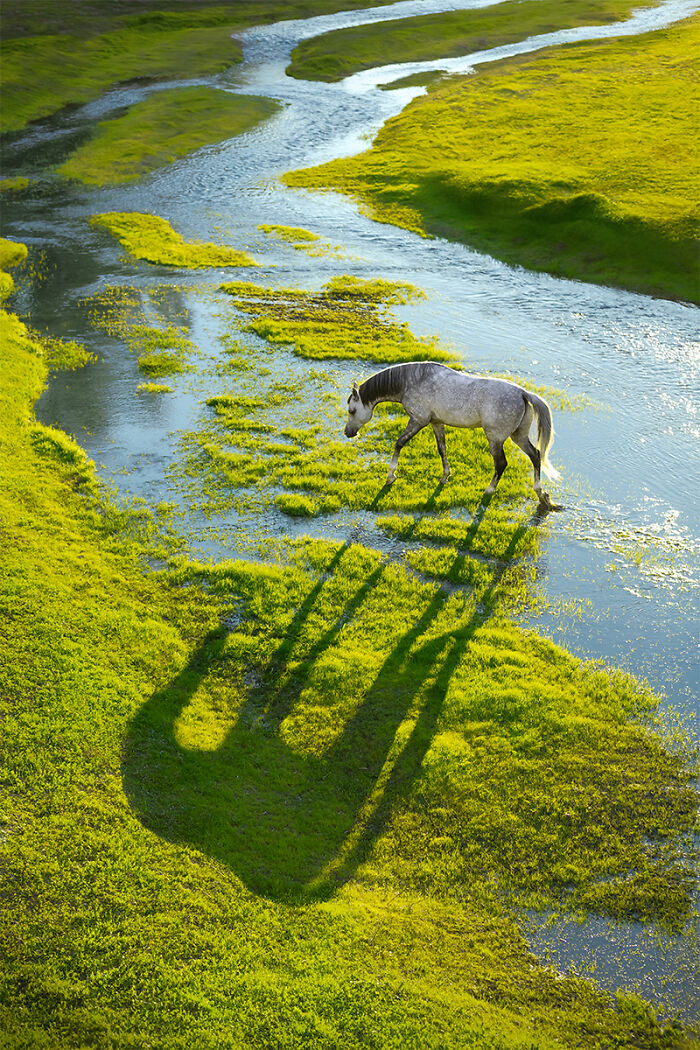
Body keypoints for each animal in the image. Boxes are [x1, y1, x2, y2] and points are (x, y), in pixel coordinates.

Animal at [344, 361, 560, 507]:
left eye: (352, 410)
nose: (348, 433)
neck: (411, 381)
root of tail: (523, 393)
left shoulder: (418, 421)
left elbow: (399, 444)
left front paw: (391, 476)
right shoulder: (436, 423)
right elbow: (442, 449)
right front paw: (445, 476)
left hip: (495, 438)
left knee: (501, 464)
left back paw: (489, 490)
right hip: (518, 436)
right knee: (535, 455)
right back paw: (540, 493)